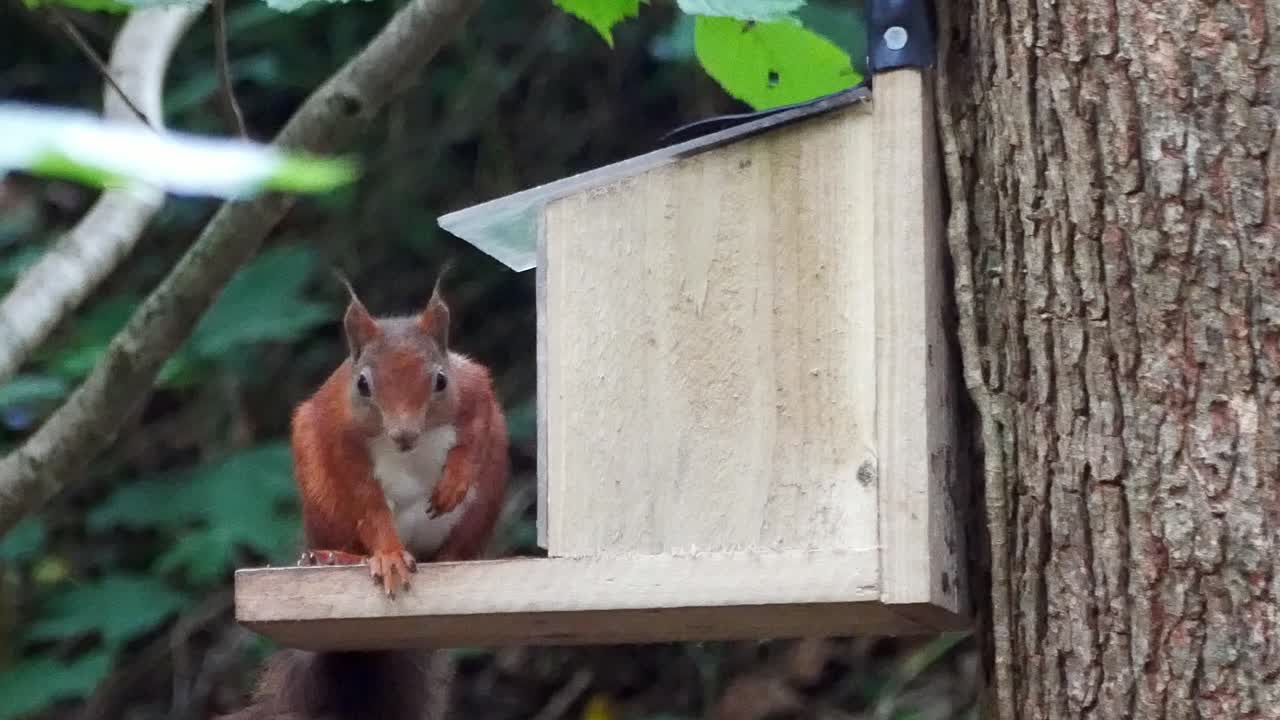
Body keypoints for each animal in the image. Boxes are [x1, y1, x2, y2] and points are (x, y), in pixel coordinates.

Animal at [221, 271, 510, 720]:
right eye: (362, 384)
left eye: (441, 380)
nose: (404, 435)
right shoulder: (336, 435)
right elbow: (368, 505)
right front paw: (388, 557)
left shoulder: (476, 391)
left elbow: (475, 431)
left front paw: (454, 482)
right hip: (321, 494)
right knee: (353, 535)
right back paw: (337, 557)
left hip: (488, 492)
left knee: (456, 547)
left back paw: (454, 559)